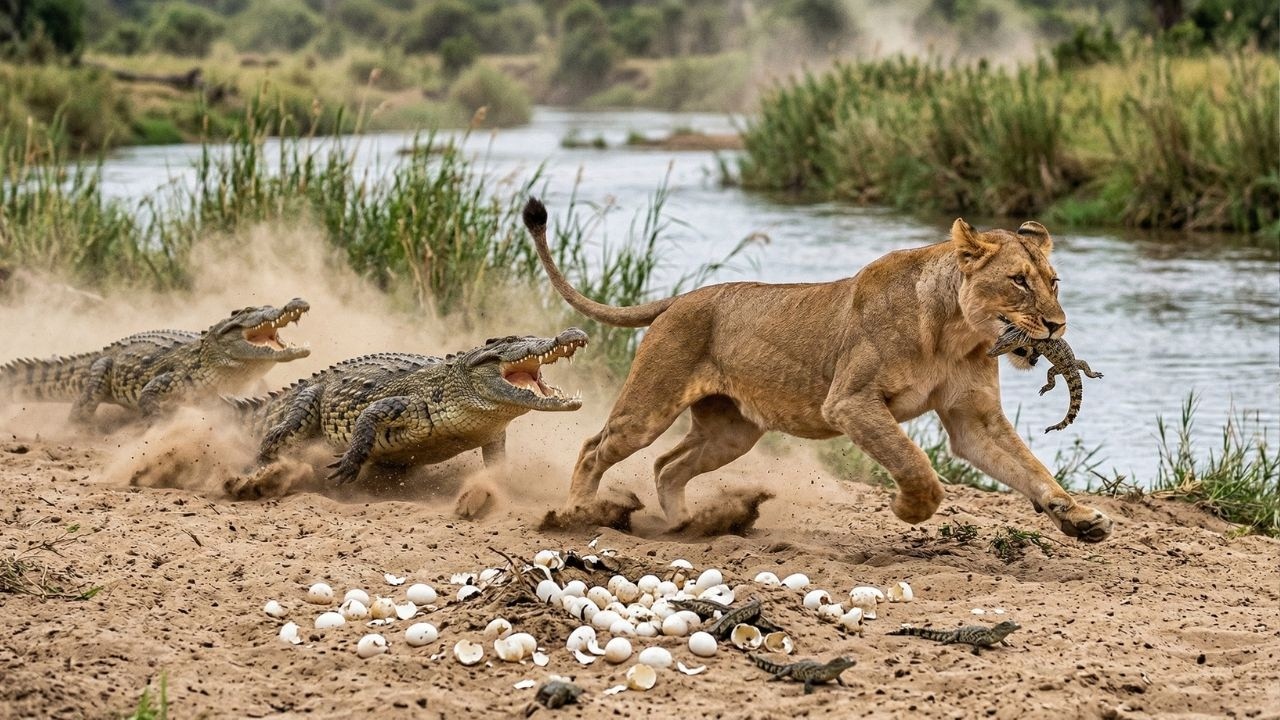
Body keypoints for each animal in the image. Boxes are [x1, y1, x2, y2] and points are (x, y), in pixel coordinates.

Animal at [521, 199, 1112, 542]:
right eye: (1018, 281)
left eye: (1053, 281)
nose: (1057, 325)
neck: (955, 335)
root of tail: (680, 298)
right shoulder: (850, 402)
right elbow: (917, 463)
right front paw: (908, 508)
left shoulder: (974, 420)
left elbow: (1031, 468)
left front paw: (1078, 518)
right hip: (649, 406)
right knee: (595, 447)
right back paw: (578, 513)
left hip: (732, 431)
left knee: (668, 465)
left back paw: (688, 524)